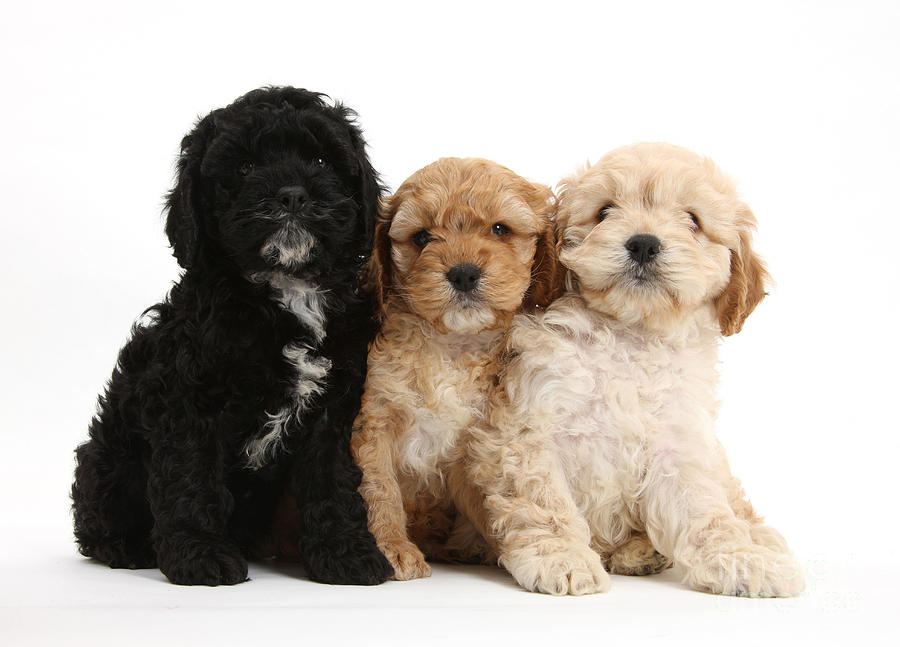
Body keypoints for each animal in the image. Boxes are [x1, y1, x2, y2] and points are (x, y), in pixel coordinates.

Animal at [70, 86, 394, 588]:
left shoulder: (331, 410)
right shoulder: (188, 401)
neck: (285, 290)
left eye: (321, 160)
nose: (291, 195)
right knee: (97, 518)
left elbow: (332, 481)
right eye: (243, 167)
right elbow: (191, 477)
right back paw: (128, 547)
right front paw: (201, 555)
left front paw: (347, 553)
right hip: (105, 457)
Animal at [350, 158, 556, 584]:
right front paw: (390, 548)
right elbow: (378, 489)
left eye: (500, 230)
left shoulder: (473, 441)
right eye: (422, 237)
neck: (450, 347)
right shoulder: (373, 423)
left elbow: (489, 499)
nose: (463, 273)